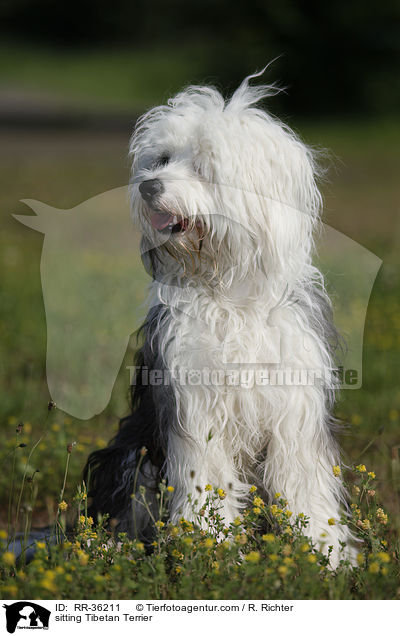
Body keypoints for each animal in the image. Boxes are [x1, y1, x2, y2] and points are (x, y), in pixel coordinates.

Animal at [86, 71, 354, 568]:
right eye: (162, 159)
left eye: (202, 167)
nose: (148, 186)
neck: (229, 290)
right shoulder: (194, 404)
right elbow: (203, 478)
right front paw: (209, 547)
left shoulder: (295, 407)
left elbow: (304, 482)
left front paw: (323, 551)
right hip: (133, 452)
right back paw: (108, 547)